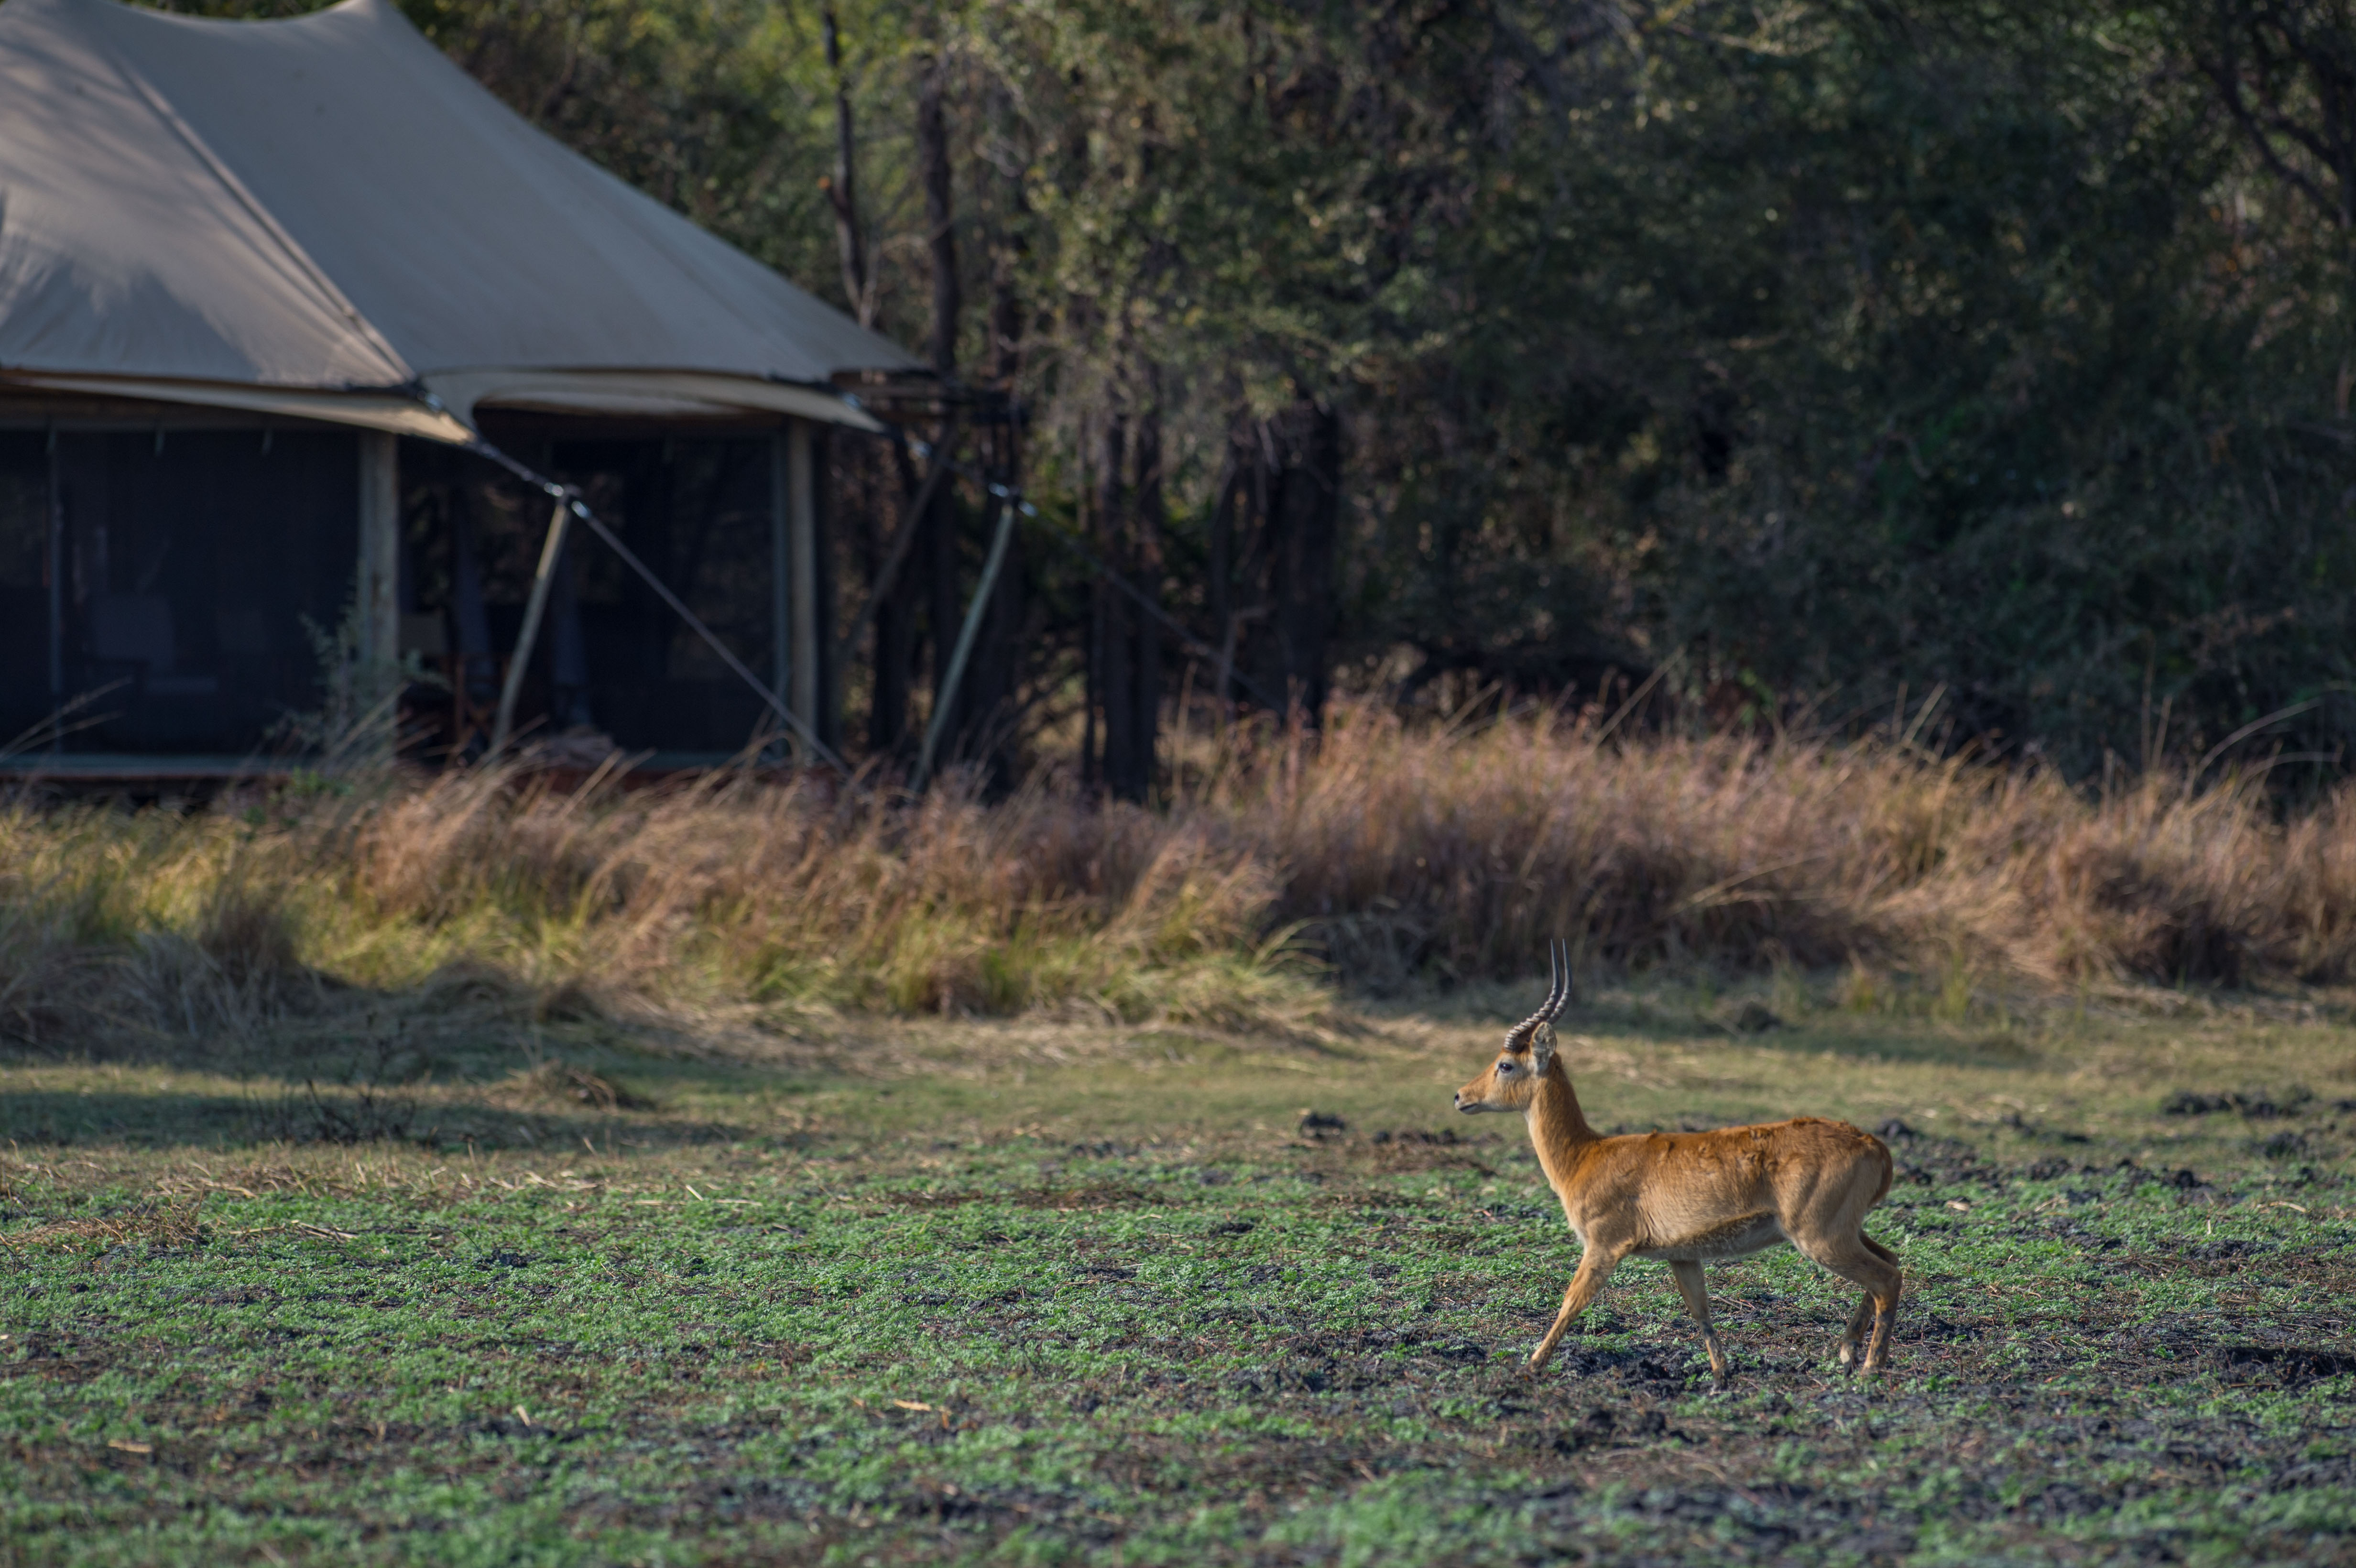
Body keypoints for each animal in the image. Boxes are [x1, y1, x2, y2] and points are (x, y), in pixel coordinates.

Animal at [1441, 941, 1903, 1365]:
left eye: (1505, 1064)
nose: (1460, 1096)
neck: (1586, 1156)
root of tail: (1872, 1143)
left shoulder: (1603, 1247)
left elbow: (1570, 1305)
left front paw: (1530, 1368)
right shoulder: (1683, 1255)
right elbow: (1702, 1314)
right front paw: (1721, 1379)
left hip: (1820, 1238)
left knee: (1886, 1278)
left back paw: (1868, 1369)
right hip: (1843, 1231)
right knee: (1893, 1260)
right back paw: (1848, 1351)